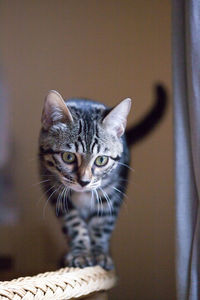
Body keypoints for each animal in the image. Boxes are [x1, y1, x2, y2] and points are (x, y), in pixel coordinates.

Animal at [38, 85, 166, 270]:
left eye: (101, 160)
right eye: (68, 157)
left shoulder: (112, 192)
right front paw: (81, 252)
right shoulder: (56, 191)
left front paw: (99, 254)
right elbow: (73, 223)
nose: (84, 182)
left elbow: (102, 223)